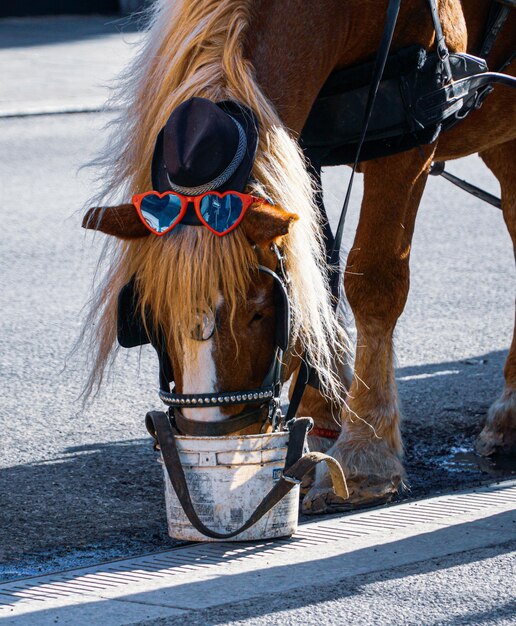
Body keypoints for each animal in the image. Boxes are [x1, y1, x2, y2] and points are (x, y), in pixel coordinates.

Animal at [82, 1, 512, 512]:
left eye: (258, 310)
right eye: (150, 317)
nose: (211, 438)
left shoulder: (413, 131)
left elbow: (375, 280)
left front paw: (365, 450)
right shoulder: (303, 143)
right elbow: (317, 276)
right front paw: (319, 419)